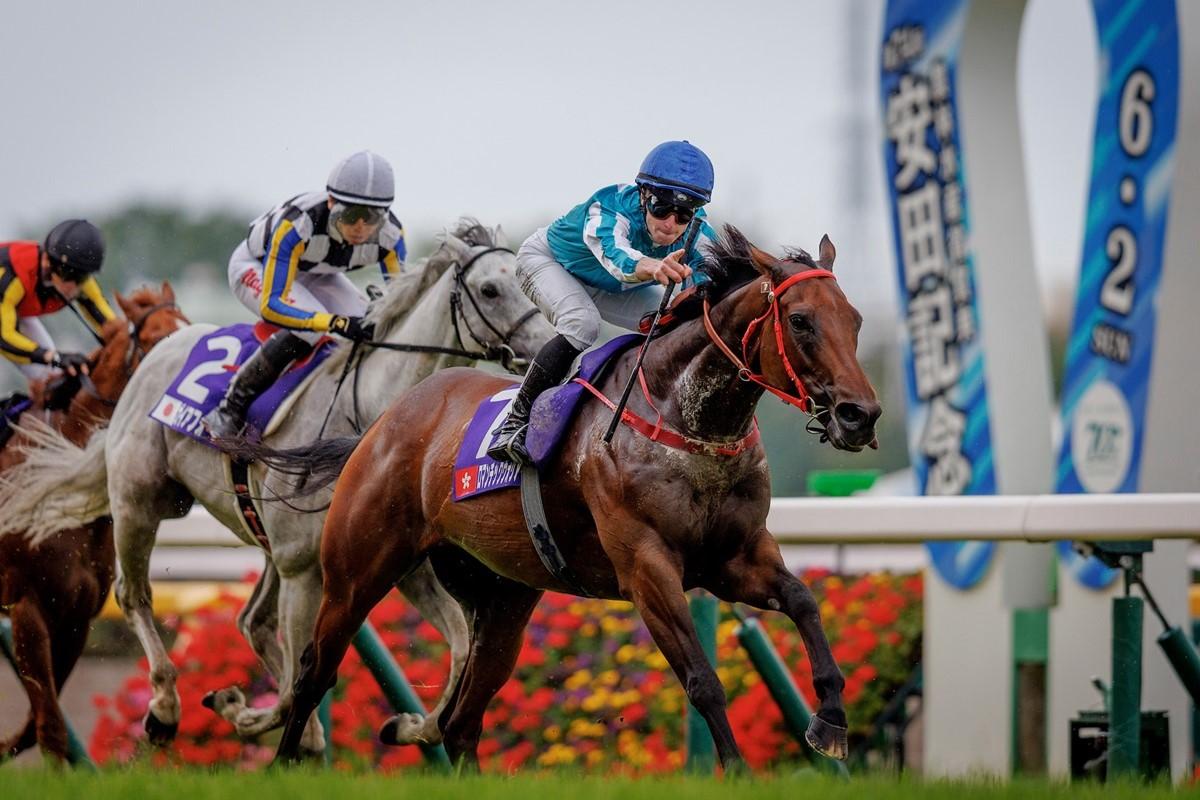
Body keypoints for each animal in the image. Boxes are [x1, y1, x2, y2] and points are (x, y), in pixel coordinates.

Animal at [268, 226, 881, 769]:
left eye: (855, 321)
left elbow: (803, 600)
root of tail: (385, 420)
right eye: (800, 321)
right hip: (355, 572)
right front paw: (734, 770)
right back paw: (283, 762)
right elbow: (703, 681)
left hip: (503, 599)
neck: (683, 418)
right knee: (313, 673)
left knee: (461, 723)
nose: (861, 415)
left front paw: (830, 720)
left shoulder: (733, 557)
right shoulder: (647, 569)